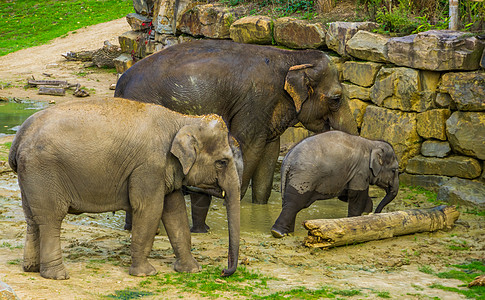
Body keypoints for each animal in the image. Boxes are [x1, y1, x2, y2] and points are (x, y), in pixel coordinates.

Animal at [7, 98, 242, 278]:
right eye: (222, 162)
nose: (223, 271)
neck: (183, 119)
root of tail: (19, 138)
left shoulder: (165, 168)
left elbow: (175, 213)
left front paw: (191, 270)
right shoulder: (149, 167)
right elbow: (149, 209)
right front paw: (145, 274)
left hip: (30, 176)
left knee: (32, 218)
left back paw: (31, 269)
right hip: (43, 171)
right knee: (51, 218)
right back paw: (57, 275)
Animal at [115, 38, 358, 233]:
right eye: (336, 99)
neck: (290, 57)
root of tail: (120, 83)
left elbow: (269, 154)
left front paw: (259, 207)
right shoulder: (257, 100)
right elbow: (249, 147)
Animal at [270, 130, 398, 238]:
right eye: (394, 170)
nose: (375, 213)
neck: (372, 143)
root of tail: (288, 159)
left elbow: (346, 195)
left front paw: (366, 213)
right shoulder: (360, 171)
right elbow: (356, 196)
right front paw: (356, 220)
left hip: (289, 179)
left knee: (288, 202)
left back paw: (288, 233)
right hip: (303, 178)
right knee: (294, 204)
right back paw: (278, 233)